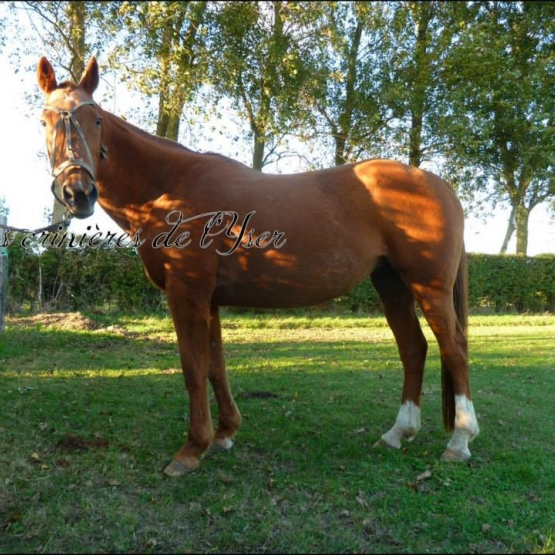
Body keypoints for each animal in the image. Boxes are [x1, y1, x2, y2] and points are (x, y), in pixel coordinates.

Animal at [37, 56, 480, 476]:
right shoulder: (209, 300)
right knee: (414, 348)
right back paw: (398, 433)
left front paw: (191, 450)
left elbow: (193, 368)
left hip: (429, 286)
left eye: (96, 120)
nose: (78, 193)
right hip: (392, 284)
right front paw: (224, 433)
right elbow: (215, 365)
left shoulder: (187, 294)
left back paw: (459, 442)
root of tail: (438, 185)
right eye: (45, 120)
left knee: (454, 348)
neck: (169, 185)